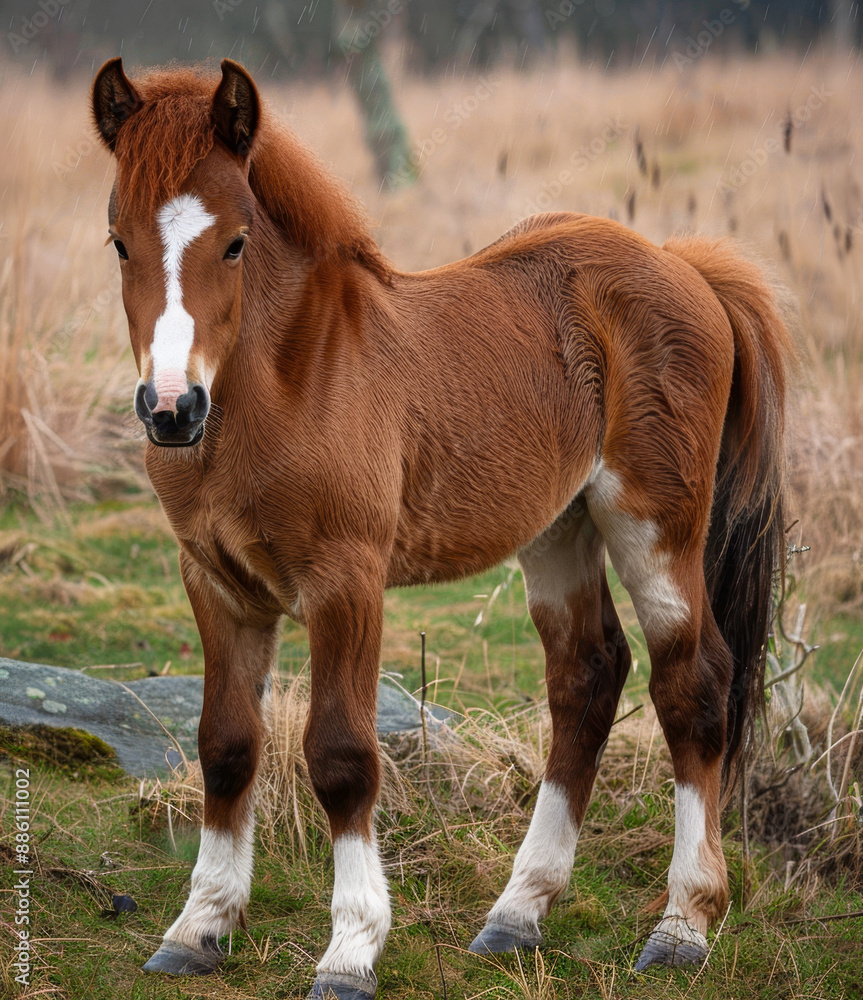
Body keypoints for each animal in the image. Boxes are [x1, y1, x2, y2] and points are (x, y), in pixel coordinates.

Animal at [91, 57, 792, 999]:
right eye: (119, 242)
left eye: (235, 242)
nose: (171, 409)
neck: (290, 383)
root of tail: (680, 262)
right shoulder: (215, 582)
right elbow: (227, 745)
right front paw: (198, 927)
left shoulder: (345, 581)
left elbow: (341, 756)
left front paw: (351, 949)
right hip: (559, 530)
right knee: (587, 676)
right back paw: (517, 912)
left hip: (655, 524)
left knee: (693, 683)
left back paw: (682, 925)